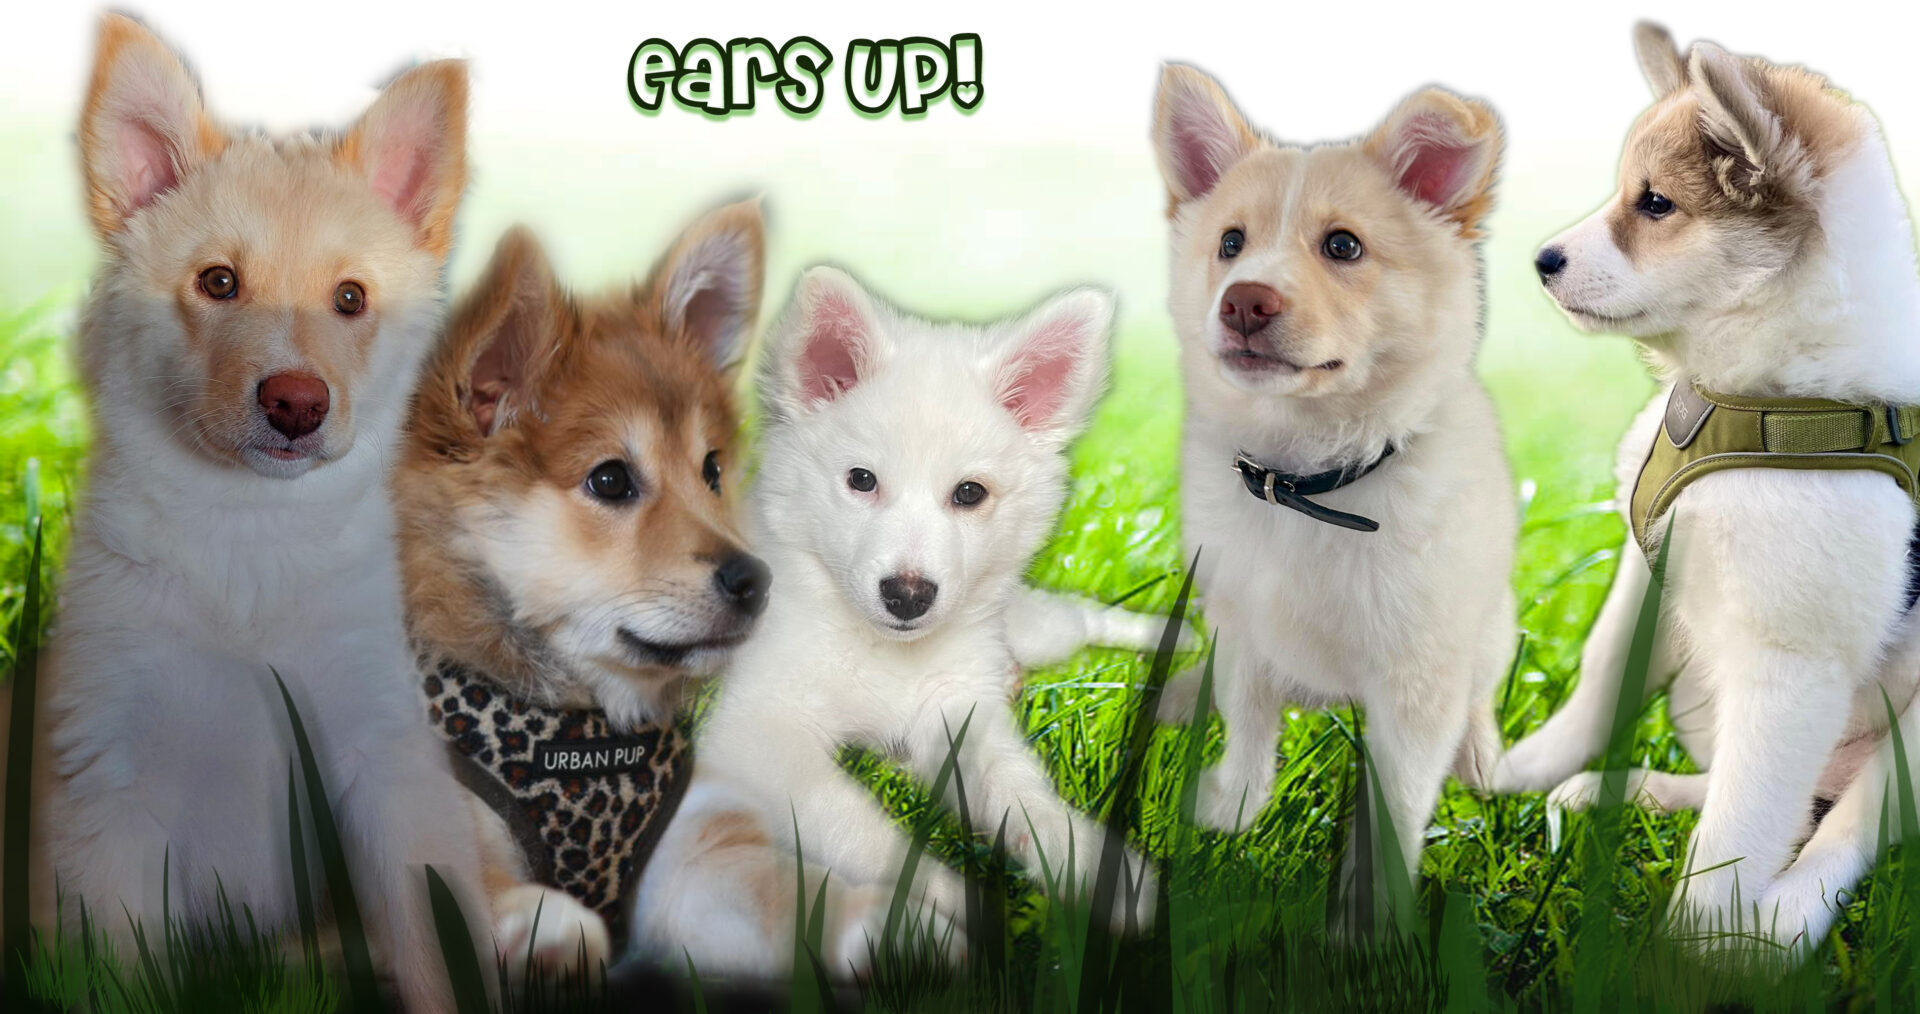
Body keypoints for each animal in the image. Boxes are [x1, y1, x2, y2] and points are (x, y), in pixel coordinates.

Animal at [0, 13, 487, 1006]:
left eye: (351, 299)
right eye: (218, 283)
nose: (296, 404)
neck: (247, 540)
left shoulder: (385, 762)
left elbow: (436, 948)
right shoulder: (104, 789)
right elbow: (122, 970)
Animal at [393, 199, 768, 967]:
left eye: (712, 471)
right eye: (611, 480)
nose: (755, 578)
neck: (586, 724)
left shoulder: (688, 849)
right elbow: (466, 885)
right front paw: (548, 927)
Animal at [637, 266, 1159, 975]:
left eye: (969, 493)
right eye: (862, 480)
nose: (908, 596)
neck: (882, 654)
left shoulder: (962, 711)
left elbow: (1021, 790)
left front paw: (1091, 865)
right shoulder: (758, 735)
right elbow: (858, 824)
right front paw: (955, 903)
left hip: (1029, 628)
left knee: (1083, 617)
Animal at [1144, 65, 1520, 902]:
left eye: (1343, 246)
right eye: (1230, 243)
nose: (1244, 300)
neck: (1307, 482)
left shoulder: (1418, 678)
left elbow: (1398, 802)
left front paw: (1373, 909)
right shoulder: (1241, 622)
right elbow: (1248, 723)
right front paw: (1230, 810)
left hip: (1493, 628)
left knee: (1482, 692)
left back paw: (1482, 759)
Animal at [1497, 23, 1920, 956]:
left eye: (1656, 204)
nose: (1540, 261)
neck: (1764, 398)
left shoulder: (1790, 666)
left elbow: (1740, 828)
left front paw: (1689, 950)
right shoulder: (1650, 570)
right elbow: (1602, 678)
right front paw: (1521, 769)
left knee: (1842, 826)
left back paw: (1780, 926)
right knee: (1799, 801)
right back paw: (1628, 792)